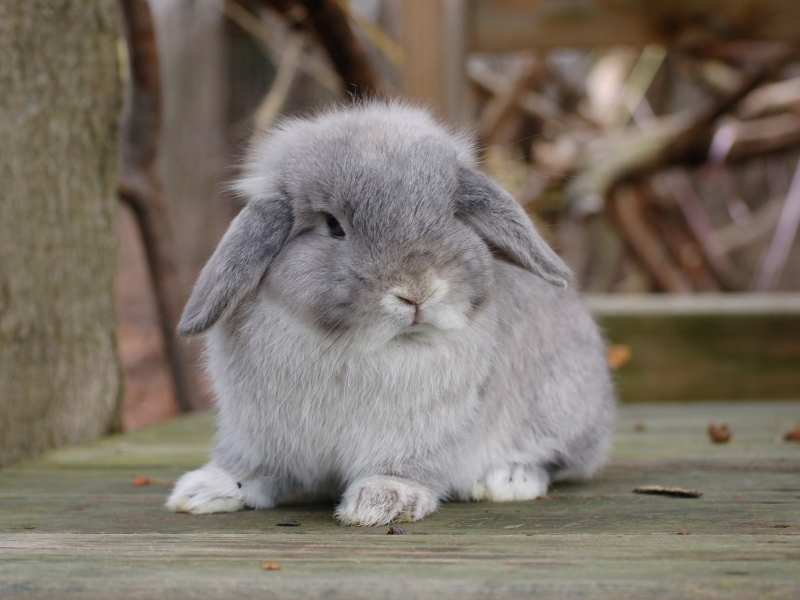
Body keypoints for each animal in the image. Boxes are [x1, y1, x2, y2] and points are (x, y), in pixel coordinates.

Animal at [167, 103, 620, 524]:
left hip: (562, 406)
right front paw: (204, 490)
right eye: (333, 225)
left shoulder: (427, 436)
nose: (417, 290)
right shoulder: (255, 433)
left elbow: (407, 469)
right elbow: (251, 468)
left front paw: (381, 502)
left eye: (451, 215)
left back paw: (507, 479)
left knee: (558, 459)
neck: (353, 346)